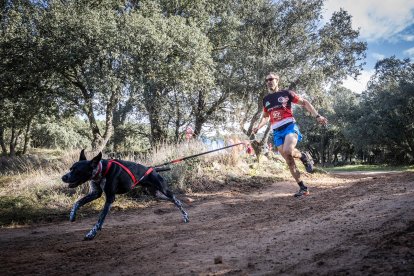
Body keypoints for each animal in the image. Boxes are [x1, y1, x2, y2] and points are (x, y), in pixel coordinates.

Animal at [61, 151, 189, 239]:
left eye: (76, 170)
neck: (102, 170)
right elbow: (77, 202)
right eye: (70, 168)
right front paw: (72, 215)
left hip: (164, 190)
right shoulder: (95, 194)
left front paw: (92, 233)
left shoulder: (110, 198)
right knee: (174, 200)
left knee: (176, 200)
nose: (63, 177)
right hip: (156, 194)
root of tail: (152, 169)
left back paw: (186, 216)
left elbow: (100, 218)